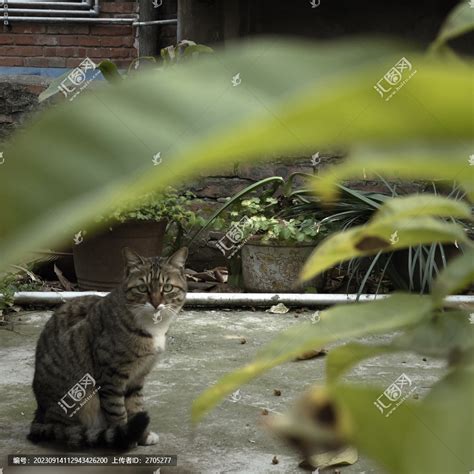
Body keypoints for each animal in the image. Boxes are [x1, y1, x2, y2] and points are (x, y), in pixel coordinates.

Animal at [28, 246, 189, 450]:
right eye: (142, 288)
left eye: (167, 288)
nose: (155, 303)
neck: (152, 328)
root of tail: (39, 416)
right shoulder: (112, 376)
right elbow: (117, 411)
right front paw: (126, 438)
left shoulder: (138, 376)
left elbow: (135, 406)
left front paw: (142, 436)